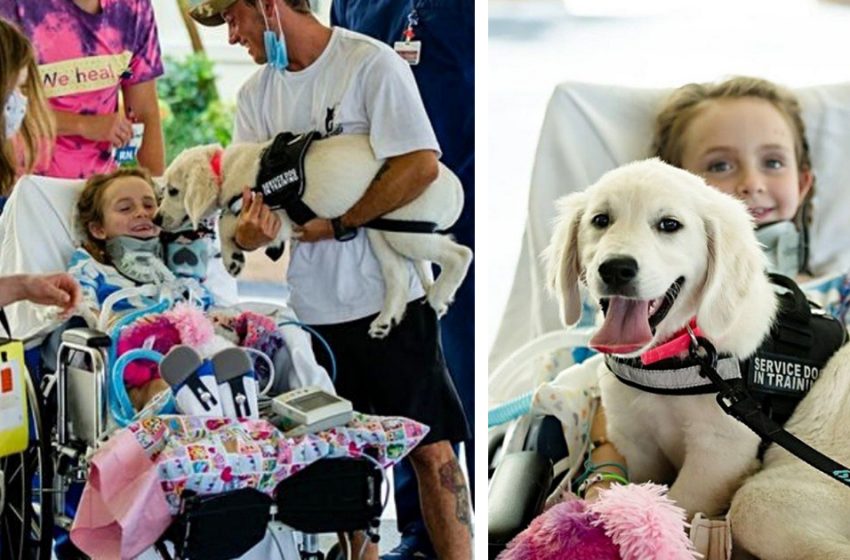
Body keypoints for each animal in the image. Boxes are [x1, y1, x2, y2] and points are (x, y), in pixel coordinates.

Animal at [159, 135, 474, 336]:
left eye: (174, 191)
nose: (157, 219)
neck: (226, 168)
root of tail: (455, 186)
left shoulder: (271, 213)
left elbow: (225, 220)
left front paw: (232, 259)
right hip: (382, 230)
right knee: (398, 274)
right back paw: (387, 320)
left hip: (403, 229)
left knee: (461, 254)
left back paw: (438, 296)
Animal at [544, 158, 776, 516]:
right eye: (601, 220)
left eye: (669, 224)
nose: (616, 269)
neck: (668, 360)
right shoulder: (635, 440)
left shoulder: (720, 453)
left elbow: (680, 505)